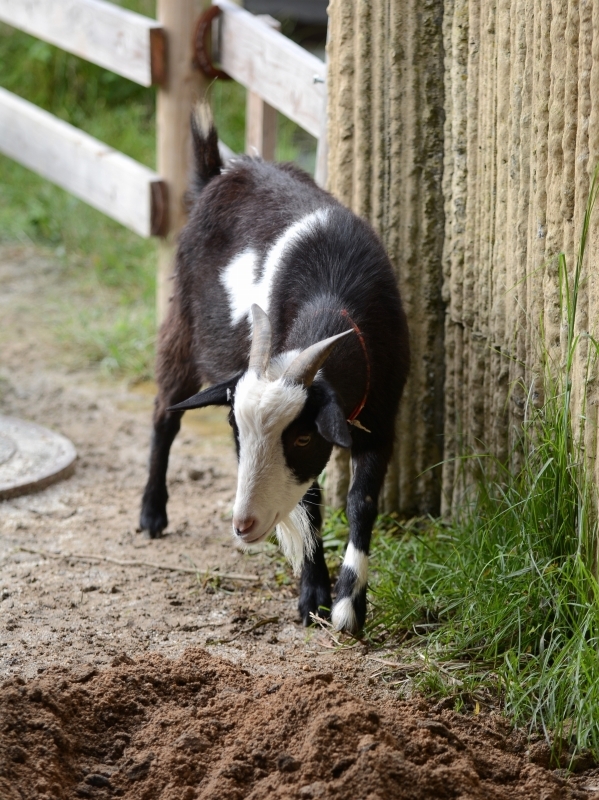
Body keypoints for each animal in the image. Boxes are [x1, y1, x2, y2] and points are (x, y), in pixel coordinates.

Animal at [141, 104, 412, 632]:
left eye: (302, 438)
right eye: (236, 429)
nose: (243, 525)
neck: (332, 290)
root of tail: (218, 172)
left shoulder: (382, 417)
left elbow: (361, 503)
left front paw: (350, 606)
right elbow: (310, 505)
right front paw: (314, 598)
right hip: (182, 324)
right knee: (165, 412)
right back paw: (151, 514)